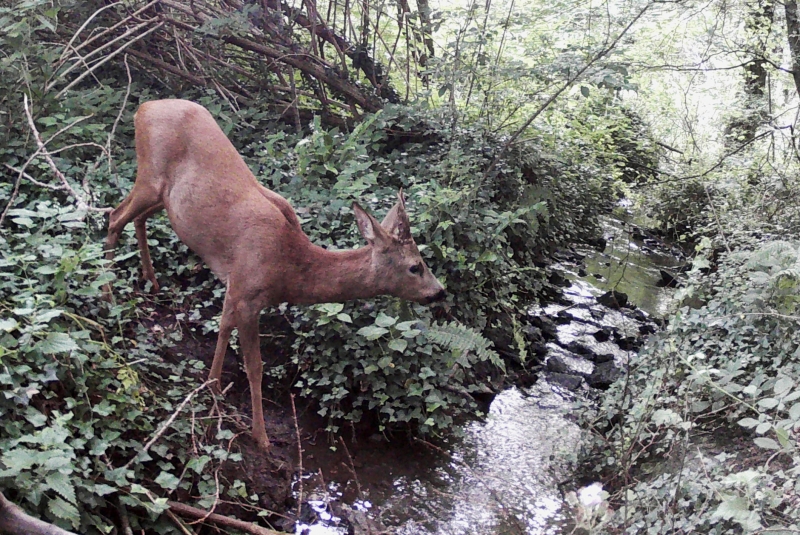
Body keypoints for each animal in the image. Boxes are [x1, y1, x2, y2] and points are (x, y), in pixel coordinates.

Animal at [103, 98, 446, 450]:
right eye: (415, 266)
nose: (439, 291)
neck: (287, 269)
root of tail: (144, 108)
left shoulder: (235, 286)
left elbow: (222, 330)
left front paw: (213, 386)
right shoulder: (248, 294)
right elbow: (254, 366)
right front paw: (260, 435)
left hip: (165, 198)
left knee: (135, 217)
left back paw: (151, 280)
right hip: (150, 175)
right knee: (114, 216)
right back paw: (107, 294)